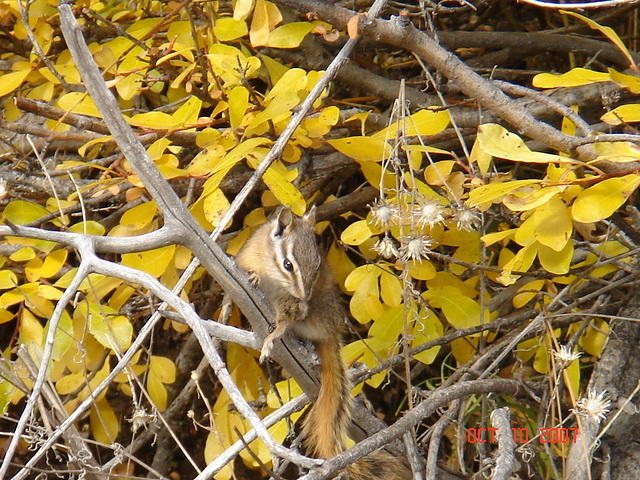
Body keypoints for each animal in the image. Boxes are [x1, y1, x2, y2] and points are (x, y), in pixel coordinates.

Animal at [235, 207, 412, 479]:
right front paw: (253, 277)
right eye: (288, 264)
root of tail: (332, 331)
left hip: (311, 311)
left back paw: (276, 338)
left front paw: (273, 335)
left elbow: (288, 317)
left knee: (292, 320)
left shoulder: (291, 302)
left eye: (318, 266)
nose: (305, 294)